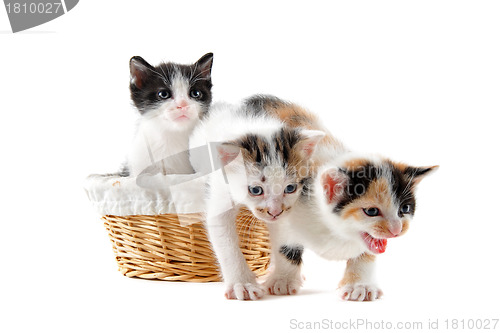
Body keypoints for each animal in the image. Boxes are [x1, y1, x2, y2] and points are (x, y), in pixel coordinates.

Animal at [188, 100, 324, 300]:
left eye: (290, 188)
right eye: (255, 190)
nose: (274, 212)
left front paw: (283, 279)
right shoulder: (220, 185)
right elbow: (224, 237)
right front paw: (242, 284)